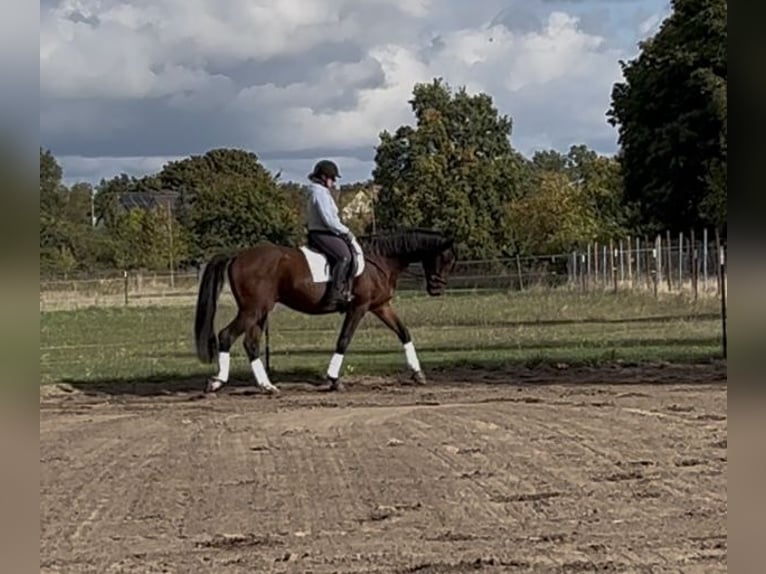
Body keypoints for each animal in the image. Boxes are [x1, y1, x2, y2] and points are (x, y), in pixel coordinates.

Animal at [193, 228, 458, 393]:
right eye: (445, 259)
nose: (437, 289)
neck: (380, 260)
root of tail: (238, 255)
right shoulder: (359, 308)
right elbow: (344, 340)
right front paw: (333, 379)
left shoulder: (380, 306)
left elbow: (404, 333)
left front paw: (418, 373)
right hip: (252, 310)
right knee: (226, 335)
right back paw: (217, 383)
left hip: (260, 312)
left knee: (251, 344)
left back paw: (267, 386)